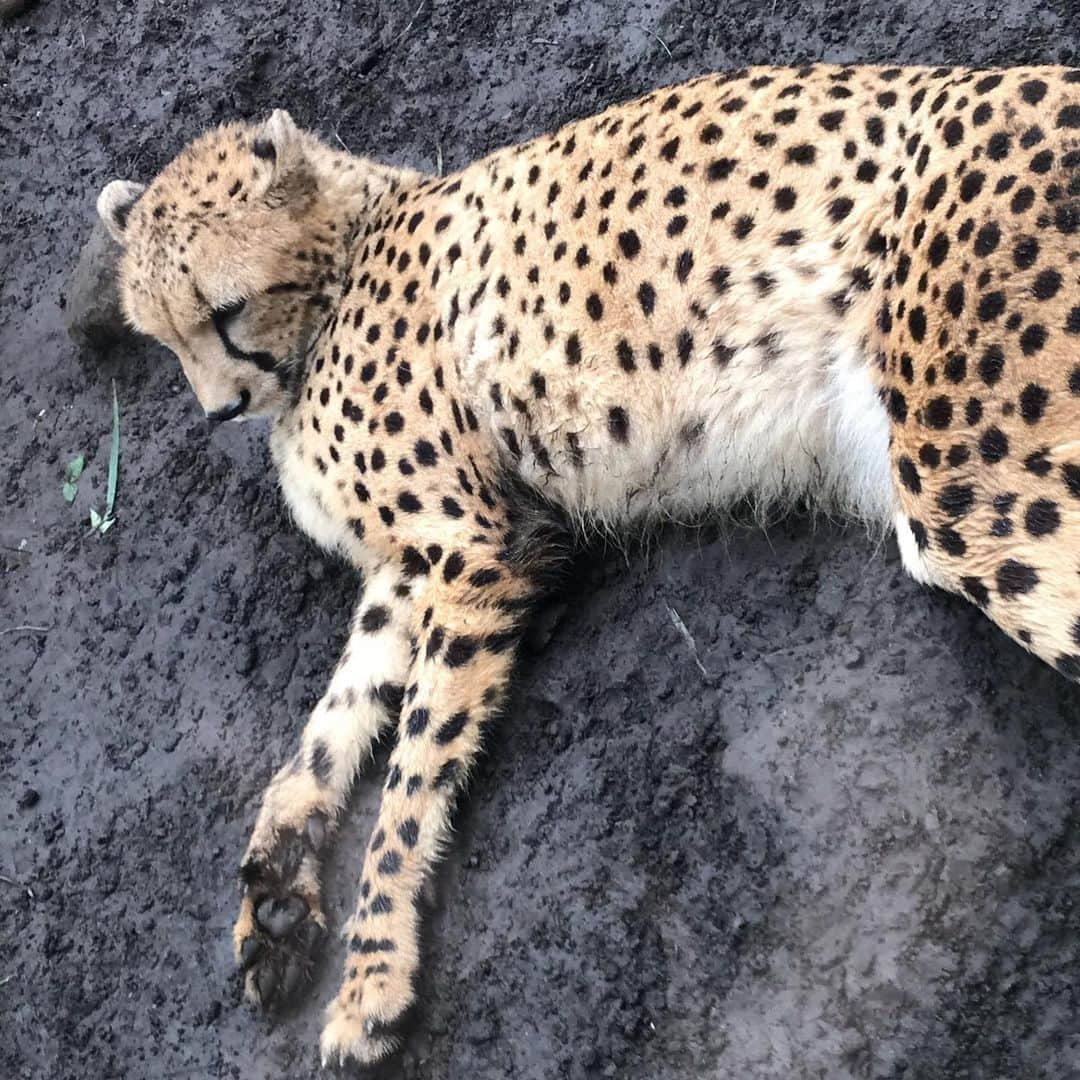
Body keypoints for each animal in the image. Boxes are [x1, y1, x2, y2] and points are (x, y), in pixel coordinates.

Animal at [95, 65, 1080, 1062]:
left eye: (225, 310)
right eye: (164, 337)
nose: (219, 410)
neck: (345, 257)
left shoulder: (472, 549)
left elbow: (410, 774)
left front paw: (372, 976)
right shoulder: (405, 568)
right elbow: (328, 729)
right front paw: (276, 891)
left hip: (975, 489)